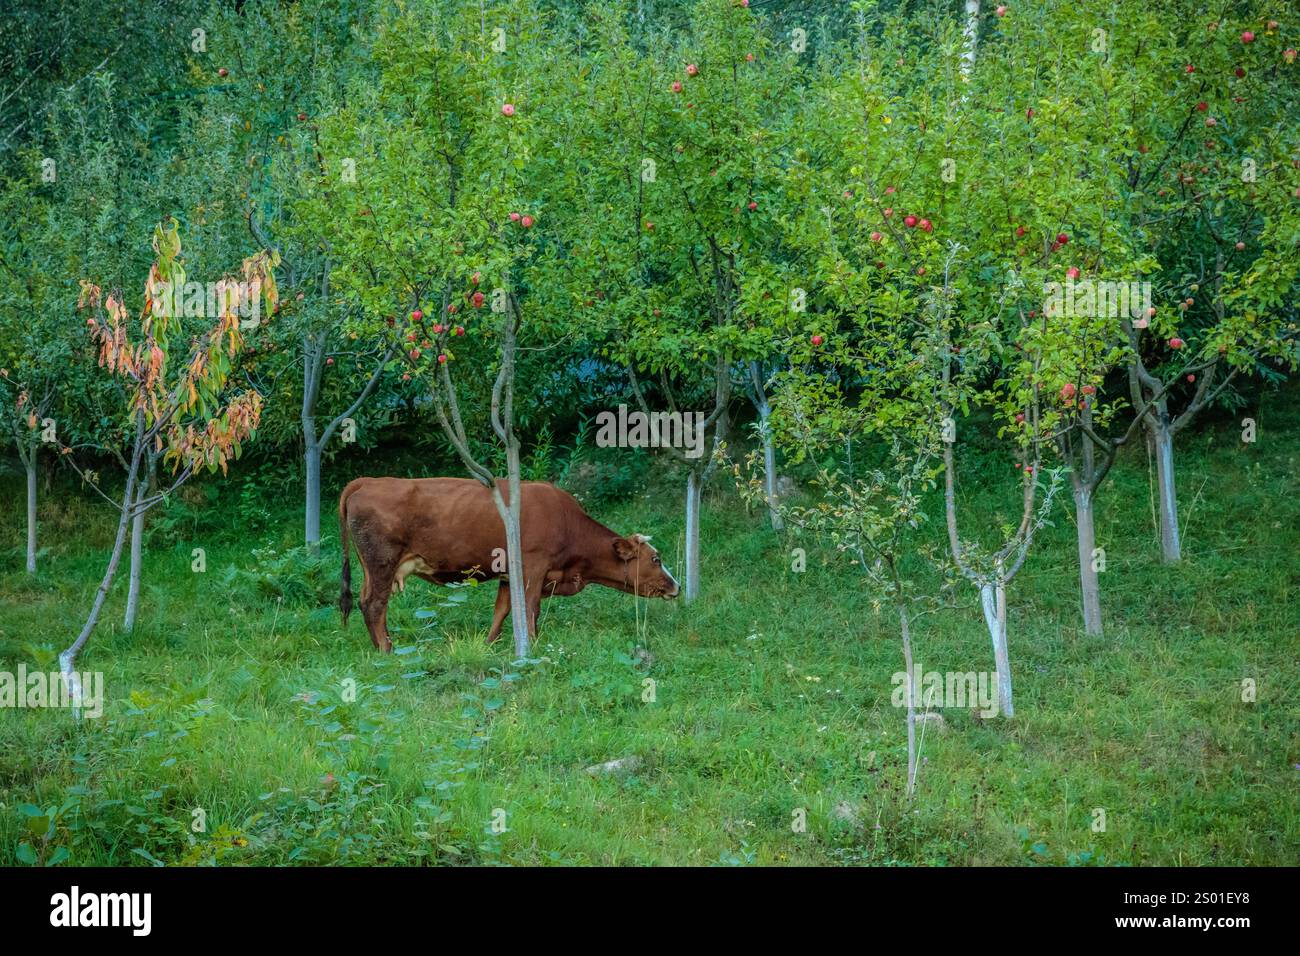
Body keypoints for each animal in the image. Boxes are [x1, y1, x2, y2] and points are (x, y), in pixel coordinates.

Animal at [337, 477, 679, 651]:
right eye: (656, 558)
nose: (676, 586)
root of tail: (369, 481)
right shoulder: (534, 567)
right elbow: (528, 608)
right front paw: (532, 645)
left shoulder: (509, 574)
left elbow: (503, 608)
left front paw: (490, 643)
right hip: (382, 561)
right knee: (375, 604)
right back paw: (386, 649)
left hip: (370, 567)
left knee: (366, 602)